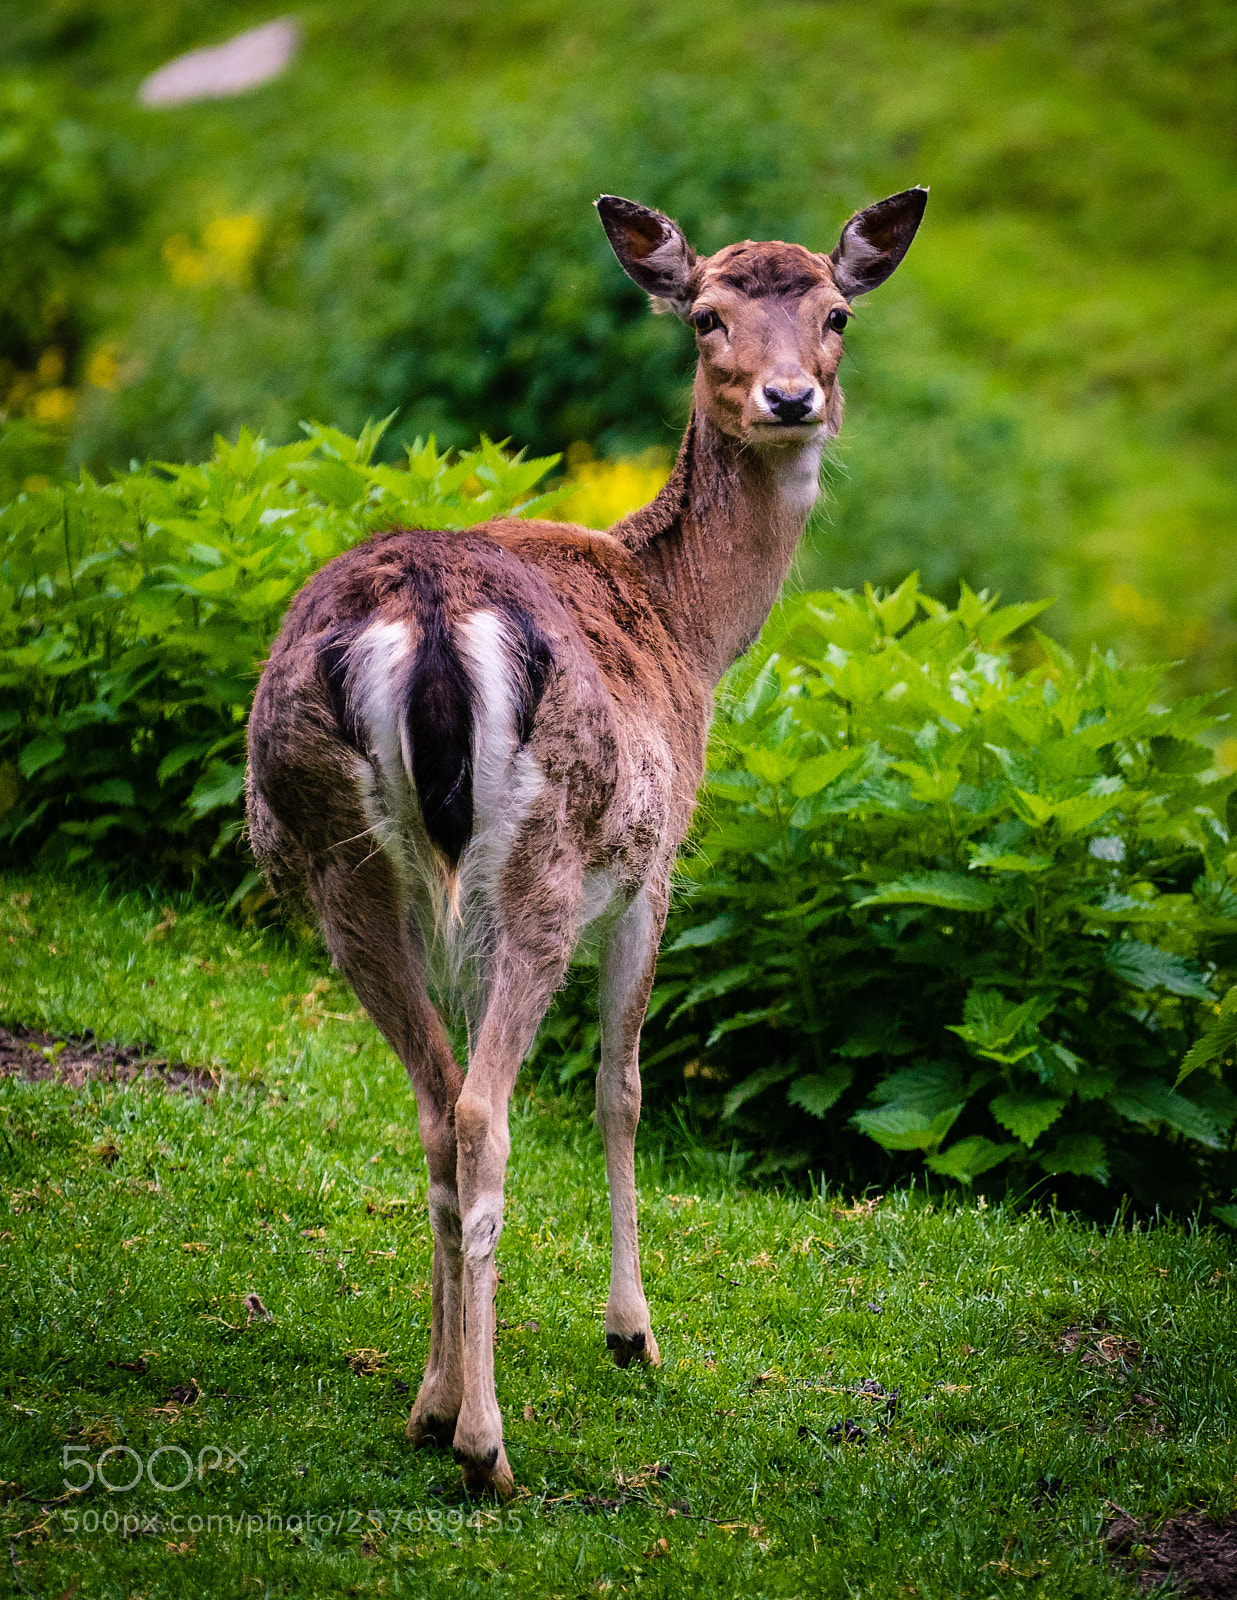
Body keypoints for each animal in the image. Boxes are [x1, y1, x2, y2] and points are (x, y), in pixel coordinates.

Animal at [246, 185, 927, 1496]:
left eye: (833, 312)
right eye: (706, 315)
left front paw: (439, 1385)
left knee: (434, 1103)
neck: (691, 631)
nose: (790, 398)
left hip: (335, 864)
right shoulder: (658, 868)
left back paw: (428, 1407)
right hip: (544, 863)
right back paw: (487, 1446)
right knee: (482, 1113)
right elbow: (623, 1088)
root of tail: (424, 623)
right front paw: (632, 1332)